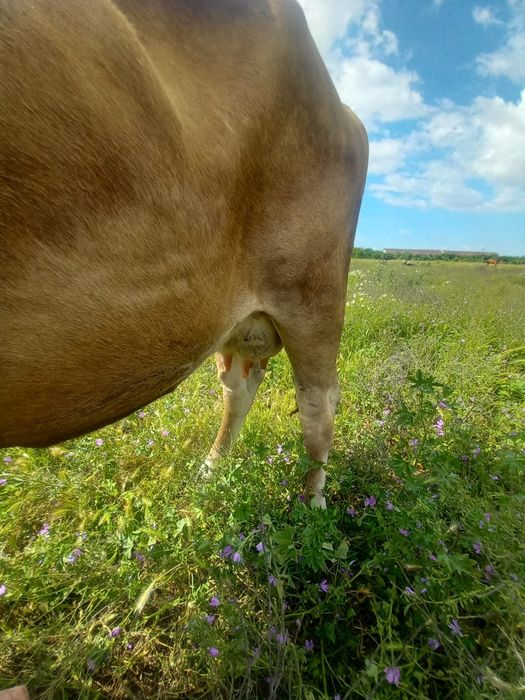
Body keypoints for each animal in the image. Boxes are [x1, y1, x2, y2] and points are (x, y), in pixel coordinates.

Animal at [0, 0, 368, 508]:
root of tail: (346, 109)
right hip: (240, 320)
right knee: (239, 388)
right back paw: (210, 473)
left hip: (313, 295)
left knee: (318, 404)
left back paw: (312, 505)